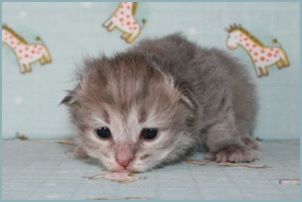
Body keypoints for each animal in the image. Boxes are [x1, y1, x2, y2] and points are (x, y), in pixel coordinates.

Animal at [62, 33, 260, 172]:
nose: (123, 161)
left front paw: (230, 147)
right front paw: (83, 148)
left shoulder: (213, 89)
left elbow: (220, 122)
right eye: (103, 132)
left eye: (150, 133)